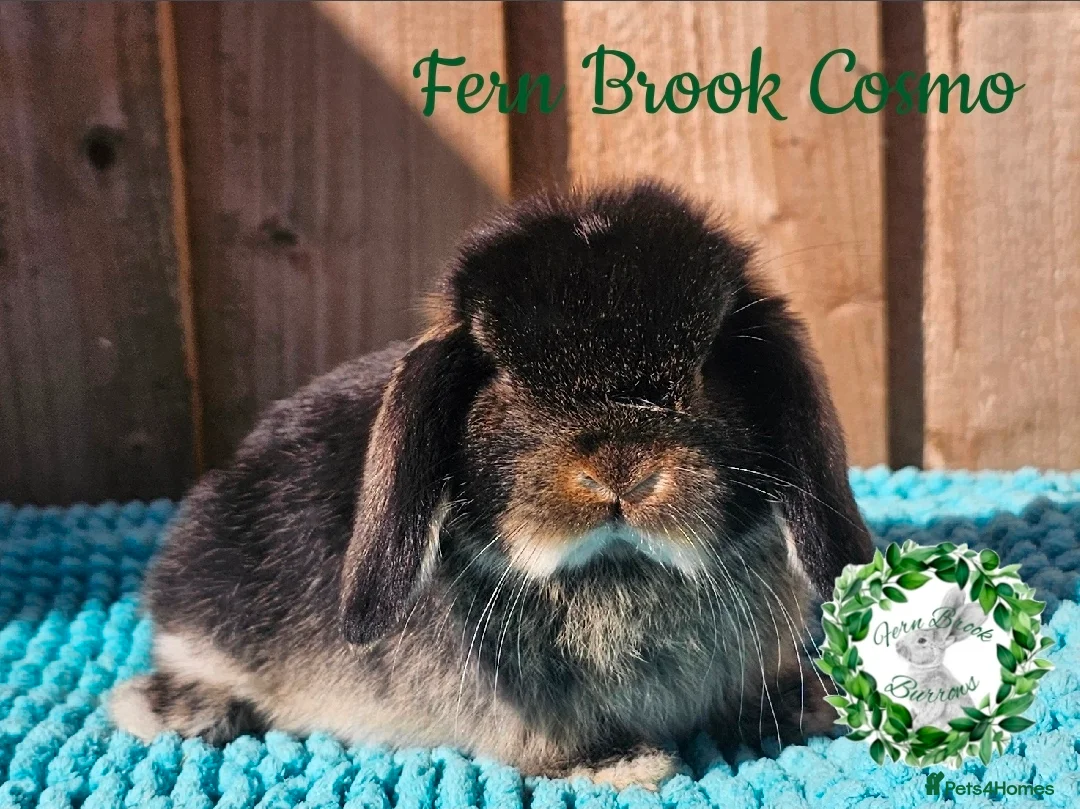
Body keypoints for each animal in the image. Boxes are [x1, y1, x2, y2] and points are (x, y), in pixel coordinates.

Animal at [109, 180, 873, 789]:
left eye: (711, 365)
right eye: (504, 377)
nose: (620, 469)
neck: (618, 569)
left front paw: (816, 704)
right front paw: (626, 766)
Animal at [894, 587, 990, 727]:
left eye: (921, 640)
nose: (897, 646)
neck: (926, 668)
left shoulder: (936, 696)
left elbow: (929, 714)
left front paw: (915, 727)